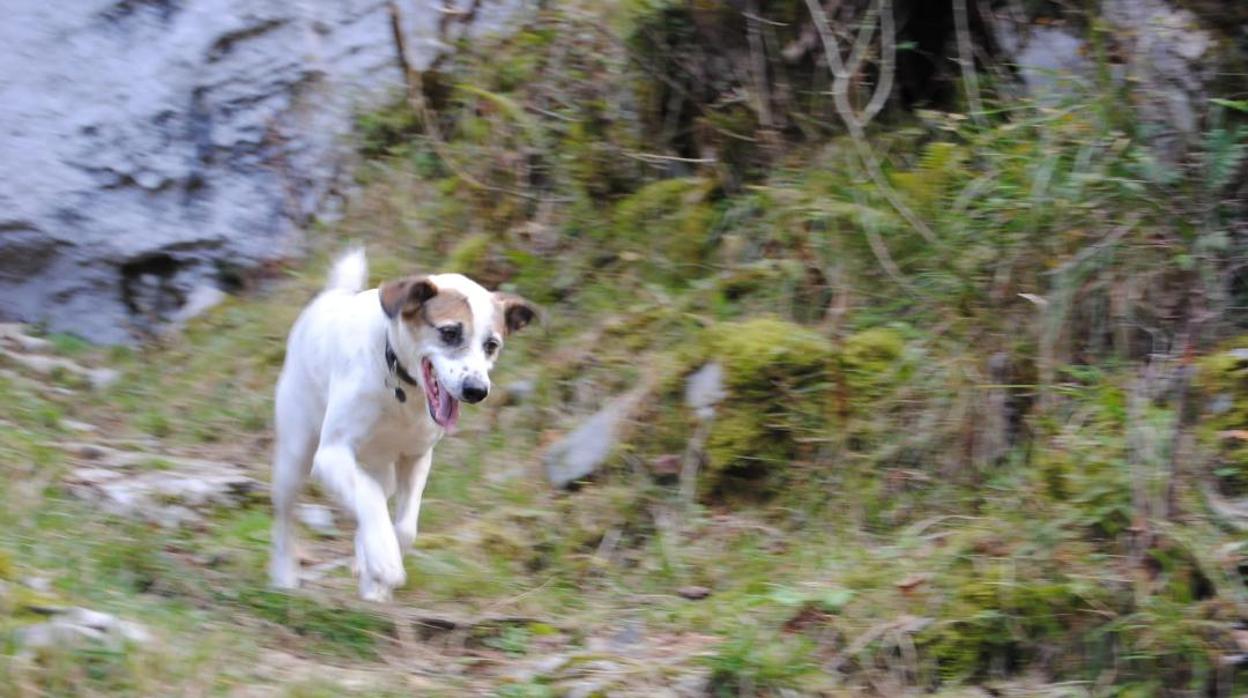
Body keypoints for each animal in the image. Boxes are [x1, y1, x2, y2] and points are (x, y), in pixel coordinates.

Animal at [270, 249, 534, 601]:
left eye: (491, 345)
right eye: (449, 333)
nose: (476, 390)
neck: (401, 388)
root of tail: (332, 295)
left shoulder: (417, 457)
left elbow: (405, 528)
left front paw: (376, 571)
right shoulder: (332, 454)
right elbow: (368, 499)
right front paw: (383, 559)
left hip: (383, 471)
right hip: (296, 453)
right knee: (287, 517)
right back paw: (284, 576)